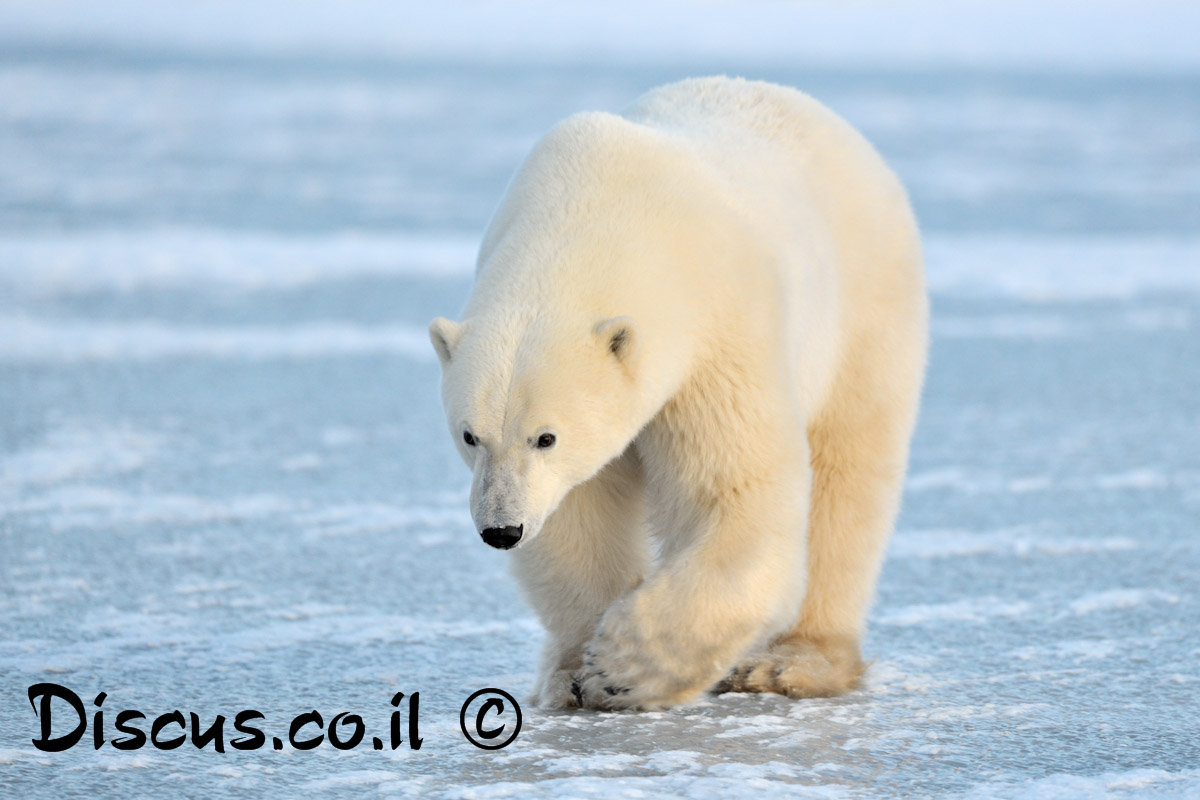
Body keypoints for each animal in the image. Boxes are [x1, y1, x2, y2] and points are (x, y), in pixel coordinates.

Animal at [432, 76, 926, 714]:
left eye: (546, 437)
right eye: (470, 435)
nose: (501, 529)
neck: (600, 211)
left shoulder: (718, 331)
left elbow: (734, 494)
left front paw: (622, 666)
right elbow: (576, 516)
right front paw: (577, 672)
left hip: (864, 312)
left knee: (849, 478)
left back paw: (791, 663)